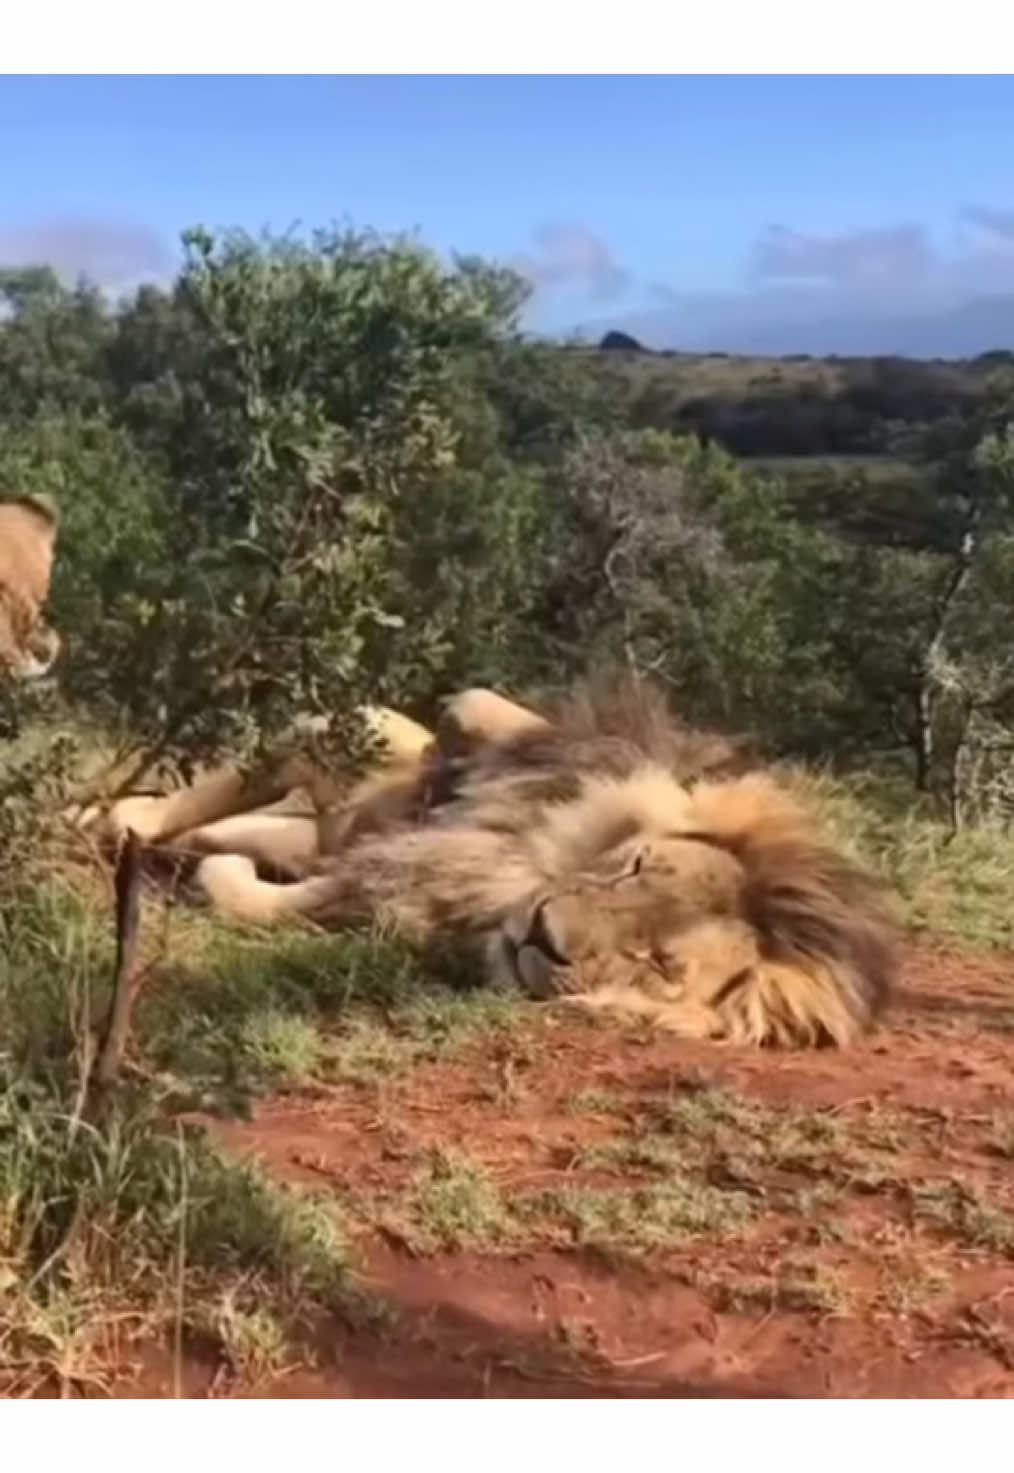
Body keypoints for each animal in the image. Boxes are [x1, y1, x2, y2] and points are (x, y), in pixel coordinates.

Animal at [103, 674, 896, 1048]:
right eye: (635, 864)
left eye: (657, 963)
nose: (543, 933)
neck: (513, 870)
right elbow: (478, 711)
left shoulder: (371, 895)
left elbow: (250, 890)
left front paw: (207, 874)